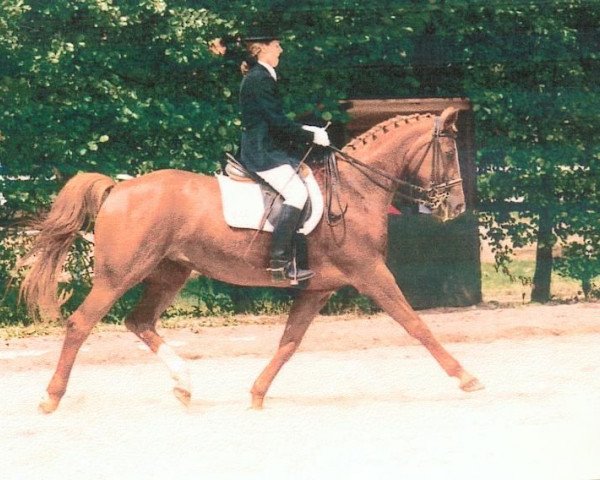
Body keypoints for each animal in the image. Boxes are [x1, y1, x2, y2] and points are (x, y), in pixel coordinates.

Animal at [21, 107, 486, 414]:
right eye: (448, 153)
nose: (456, 207)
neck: (355, 191)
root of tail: (118, 189)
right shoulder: (371, 273)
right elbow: (416, 324)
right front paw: (467, 378)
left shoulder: (319, 288)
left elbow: (289, 342)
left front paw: (257, 393)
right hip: (118, 275)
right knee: (81, 324)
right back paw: (50, 397)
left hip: (170, 272)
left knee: (139, 322)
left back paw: (184, 386)